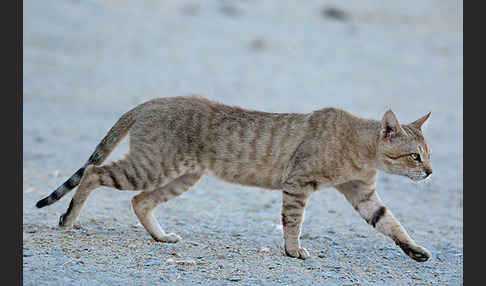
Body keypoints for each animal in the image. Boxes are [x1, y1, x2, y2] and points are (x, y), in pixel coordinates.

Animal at [37, 95, 432, 262]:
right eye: (415, 156)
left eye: (429, 155)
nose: (430, 172)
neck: (362, 151)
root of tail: (151, 101)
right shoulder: (297, 183)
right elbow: (293, 221)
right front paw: (293, 250)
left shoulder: (362, 193)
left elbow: (390, 223)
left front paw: (415, 250)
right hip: (150, 166)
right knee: (93, 173)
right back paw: (68, 218)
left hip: (183, 175)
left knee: (139, 201)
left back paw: (161, 236)